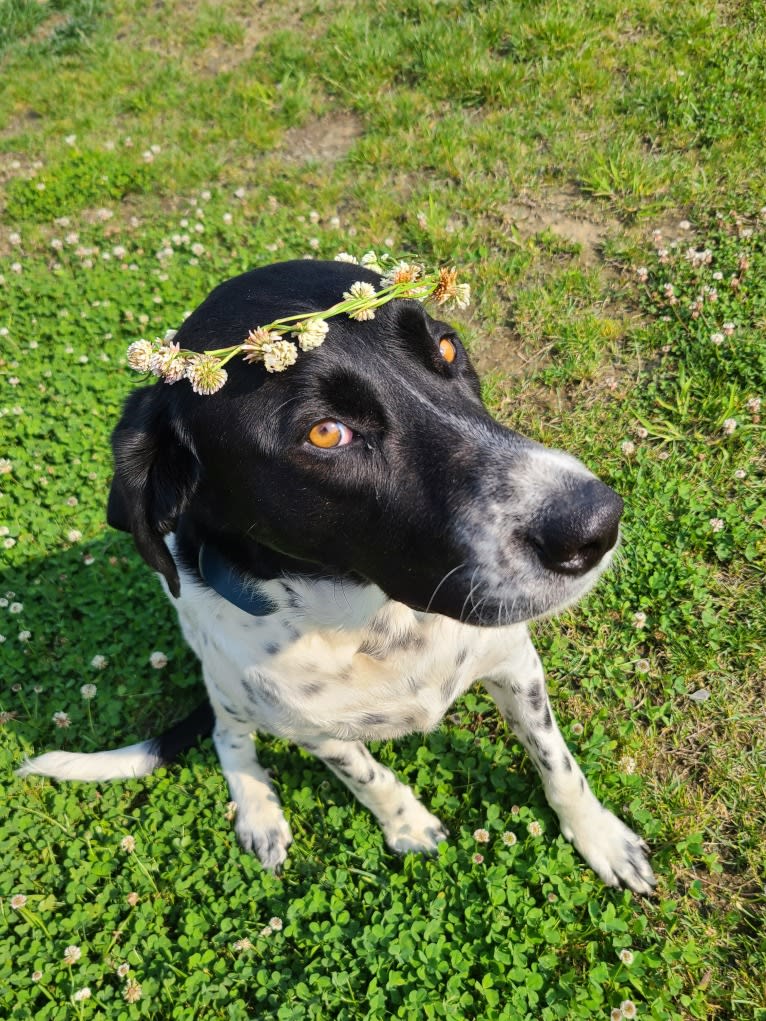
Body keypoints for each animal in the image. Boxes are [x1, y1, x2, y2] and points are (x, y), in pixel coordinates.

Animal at [20, 257, 661, 894]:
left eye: (447, 347)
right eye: (326, 433)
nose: (596, 525)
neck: (379, 624)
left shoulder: (514, 664)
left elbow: (559, 763)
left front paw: (600, 838)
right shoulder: (314, 731)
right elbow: (368, 777)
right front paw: (408, 825)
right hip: (230, 688)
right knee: (228, 736)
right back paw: (259, 813)